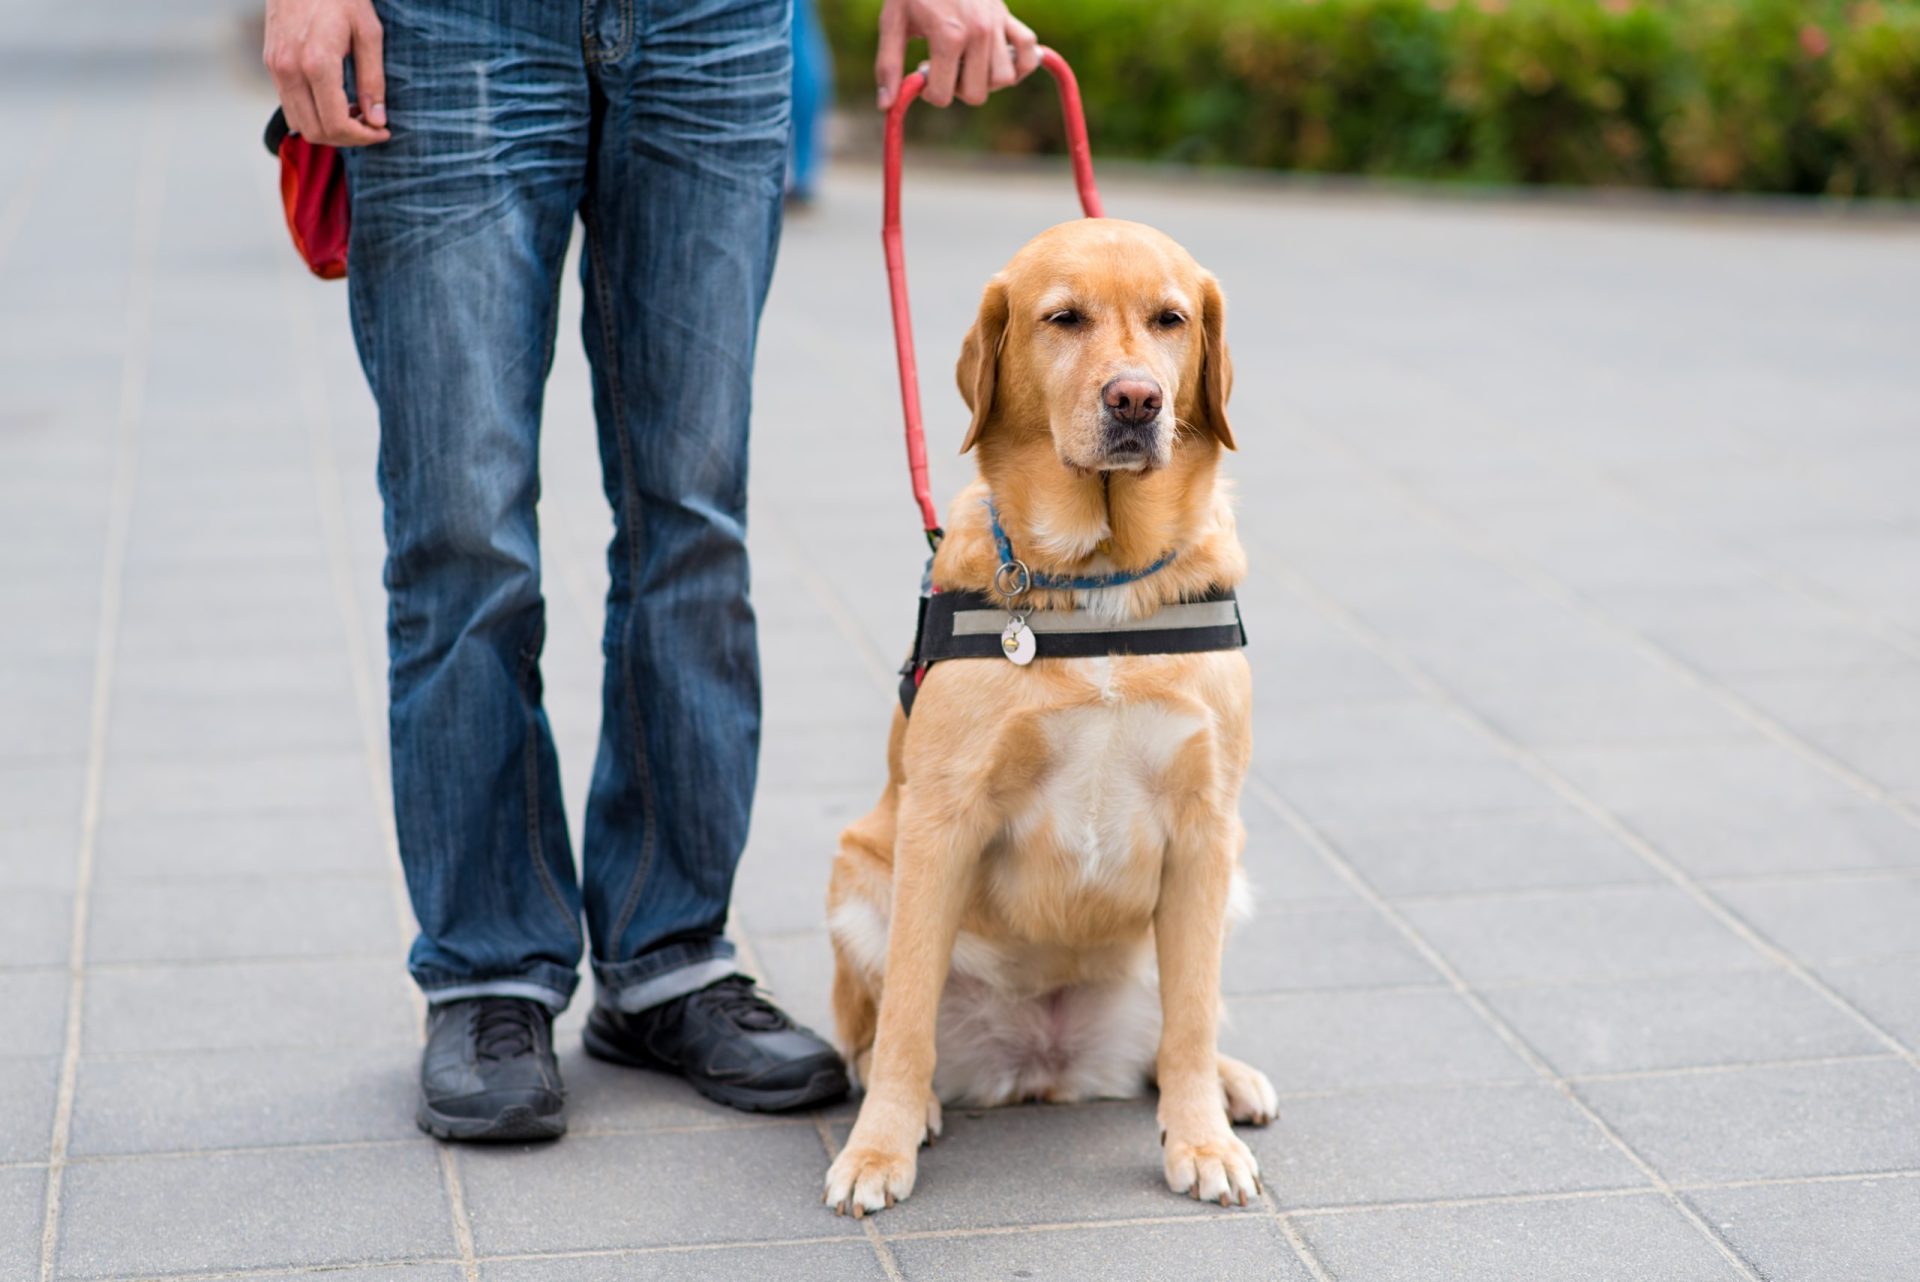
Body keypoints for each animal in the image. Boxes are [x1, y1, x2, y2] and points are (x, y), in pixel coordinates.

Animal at [817, 217, 1267, 1212]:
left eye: (1171, 319)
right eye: (1064, 319)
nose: (1136, 400)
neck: (1101, 578)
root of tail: (1044, 1065)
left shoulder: (1207, 822)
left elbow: (1189, 1017)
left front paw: (1201, 1139)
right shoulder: (940, 822)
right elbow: (907, 1015)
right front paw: (877, 1151)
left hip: (1230, 884)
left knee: (1183, 1023)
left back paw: (1227, 1081)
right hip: (860, 875)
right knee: (873, 1034)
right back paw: (910, 1105)